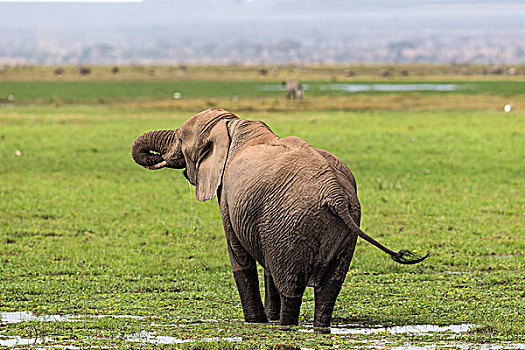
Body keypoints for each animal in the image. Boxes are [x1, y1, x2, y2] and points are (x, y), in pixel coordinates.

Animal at [130, 107, 426, 328]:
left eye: (180, 139)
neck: (231, 124)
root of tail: (335, 193)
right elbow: (268, 267)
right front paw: (267, 320)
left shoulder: (228, 199)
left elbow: (239, 257)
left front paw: (255, 322)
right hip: (337, 227)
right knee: (328, 289)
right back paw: (316, 325)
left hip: (292, 224)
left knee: (291, 288)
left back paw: (285, 326)